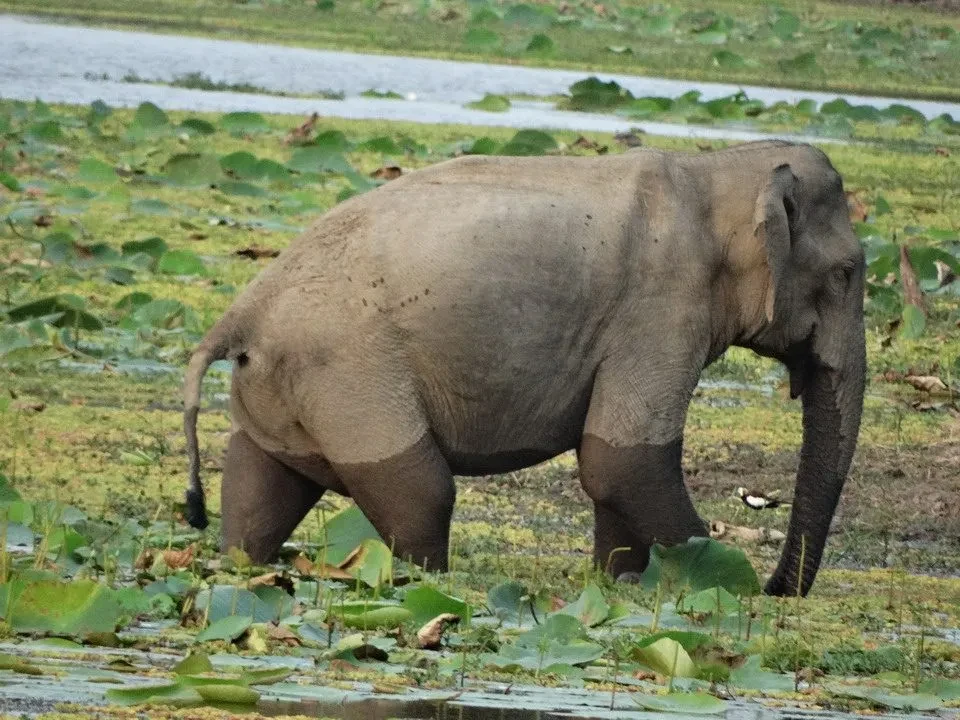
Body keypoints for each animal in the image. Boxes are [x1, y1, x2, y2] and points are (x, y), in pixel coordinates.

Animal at [183, 139, 866, 597]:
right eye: (847, 274)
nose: (777, 590)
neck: (715, 169)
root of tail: (239, 313)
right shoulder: (661, 309)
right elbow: (622, 462)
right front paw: (724, 582)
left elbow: (614, 468)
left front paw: (617, 587)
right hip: (350, 375)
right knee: (421, 494)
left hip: (286, 388)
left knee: (259, 494)